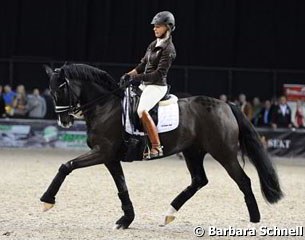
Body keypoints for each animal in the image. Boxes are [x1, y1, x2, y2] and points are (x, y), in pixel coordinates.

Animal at [41, 63, 282, 229]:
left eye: (61, 89)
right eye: (51, 92)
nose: (64, 121)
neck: (104, 106)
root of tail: (226, 104)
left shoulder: (102, 152)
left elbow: (67, 166)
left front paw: (47, 200)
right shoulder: (110, 157)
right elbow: (122, 187)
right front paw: (126, 219)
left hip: (224, 153)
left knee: (243, 180)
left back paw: (254, 220)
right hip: (192, 152)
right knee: (199, 180)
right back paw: (169, 213)